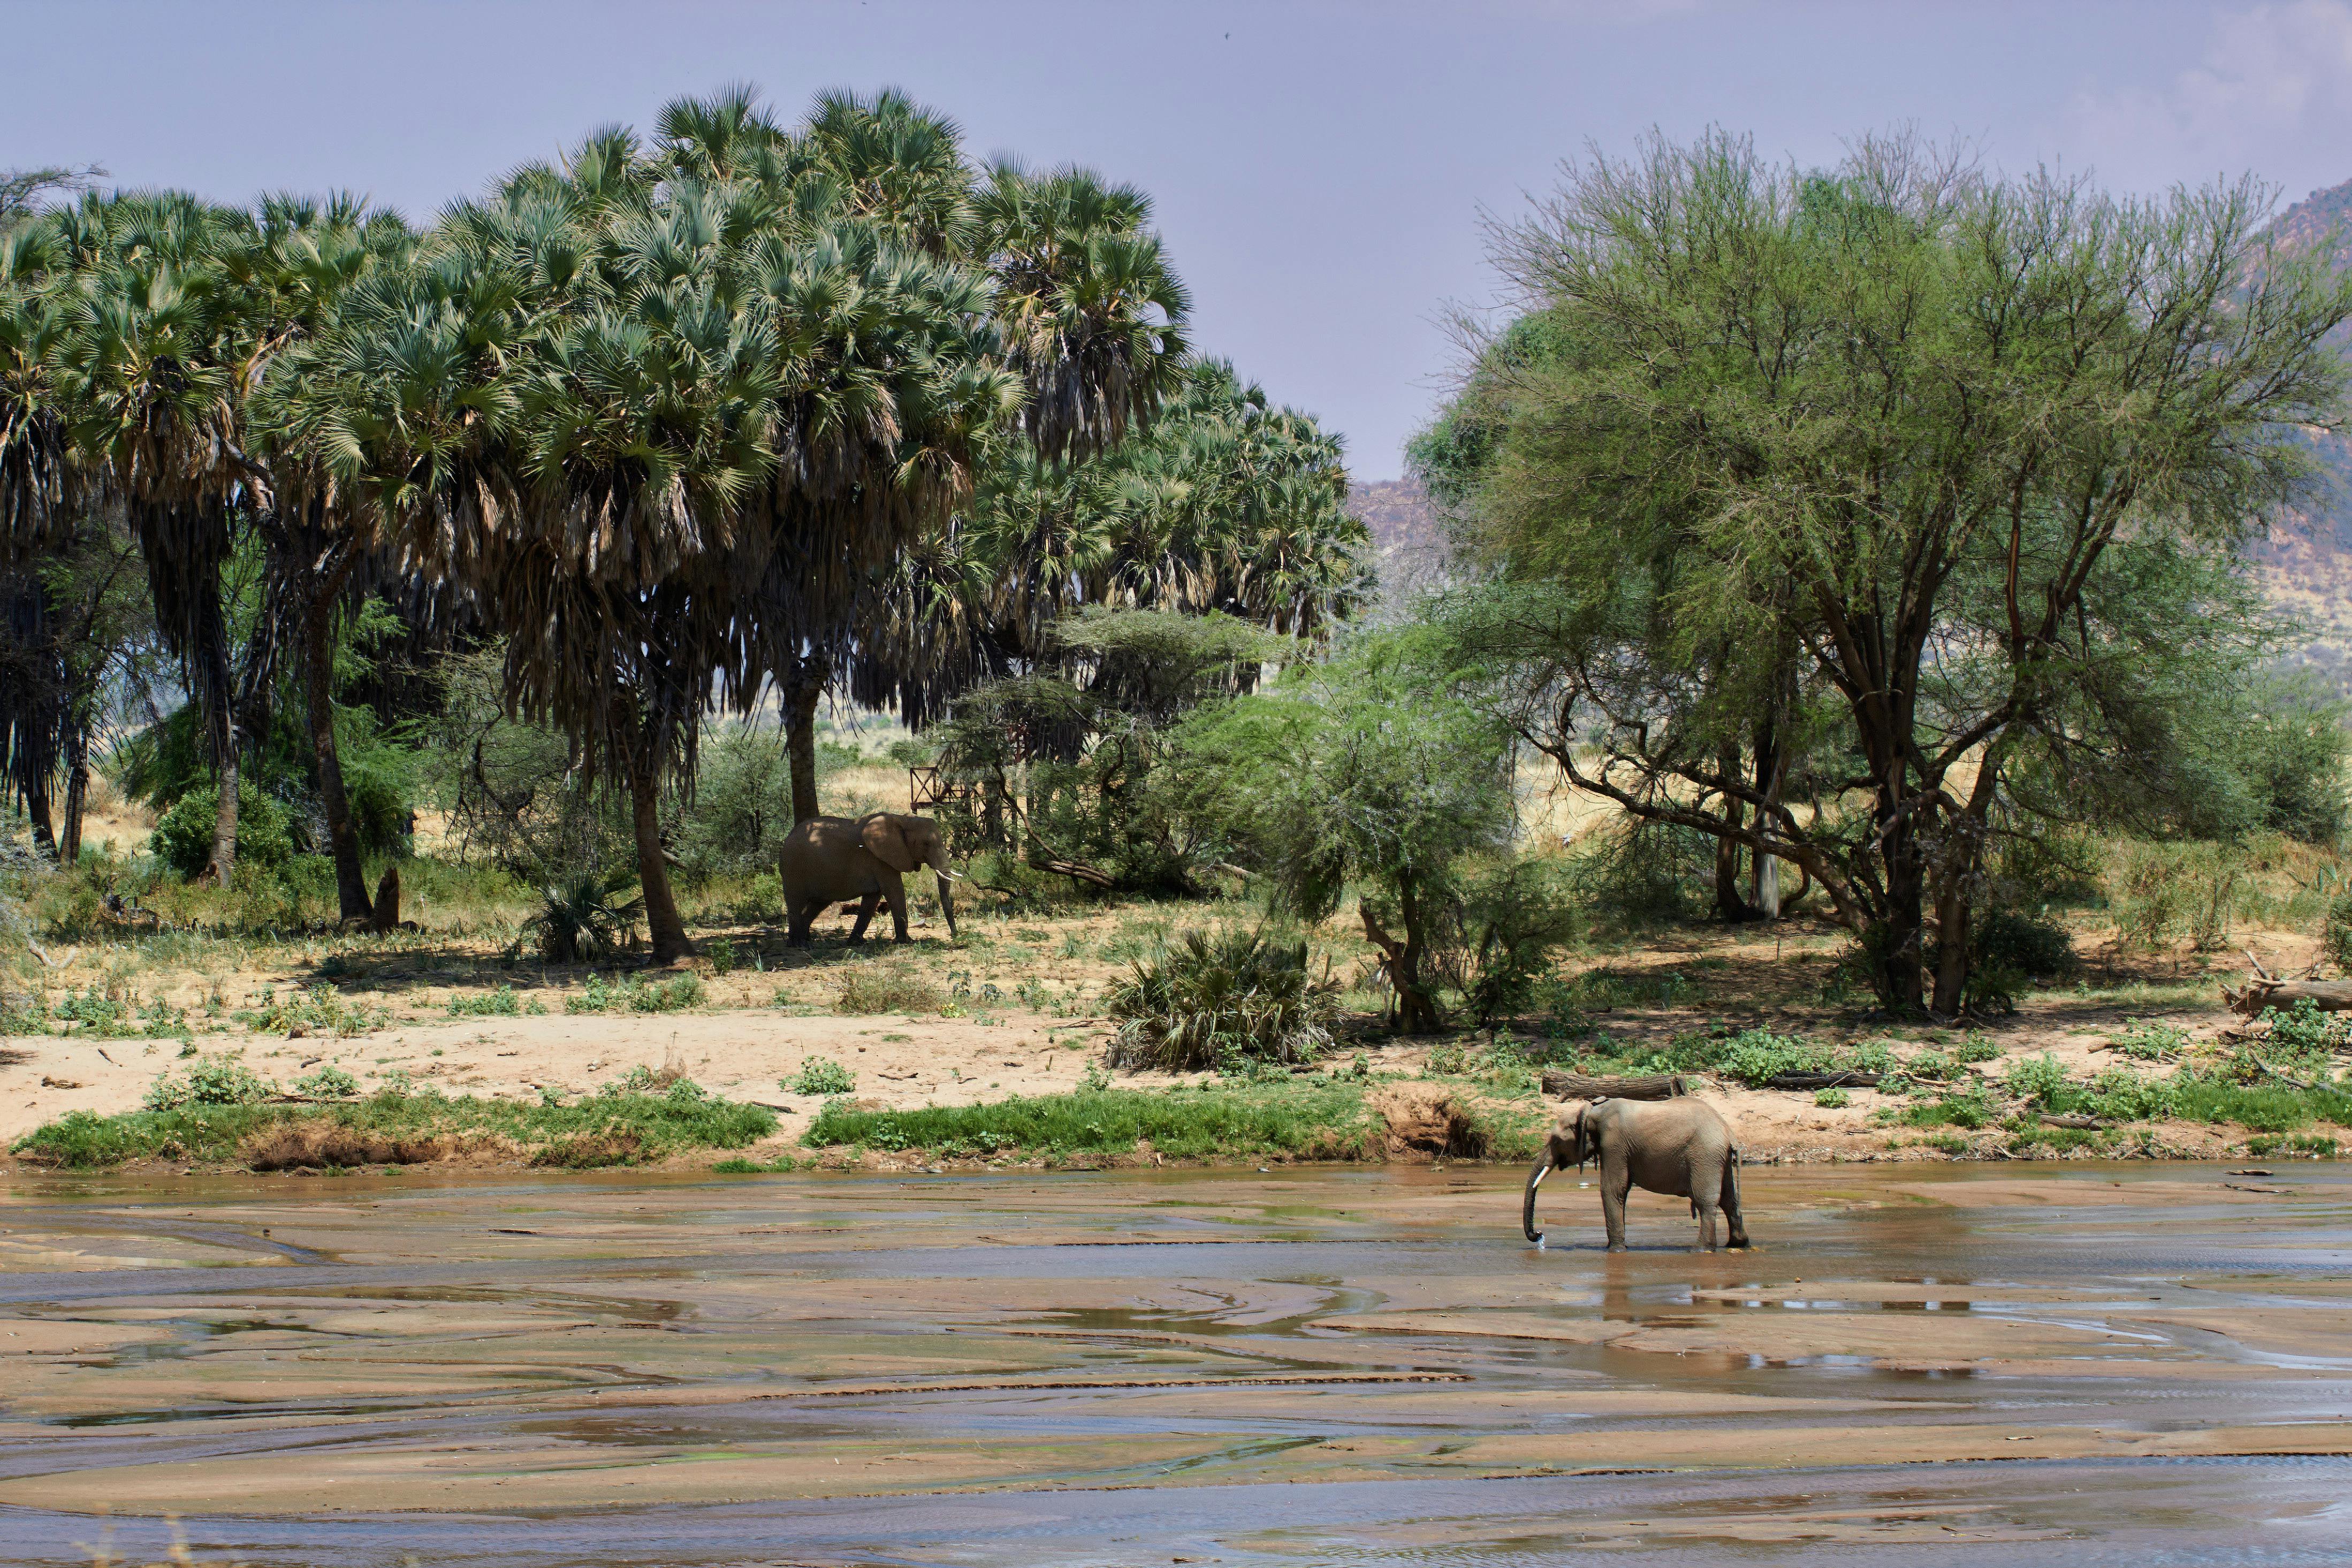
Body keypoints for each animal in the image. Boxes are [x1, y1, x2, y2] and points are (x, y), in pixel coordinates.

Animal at [778, 812, 961, 946]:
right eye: (926, 844)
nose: (955, 935)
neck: (901, 819)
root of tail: (787, 838)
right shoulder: (880, 859)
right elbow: (895, 892)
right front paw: (906, 942)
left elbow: (873, 899)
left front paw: (856, 943)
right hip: (793, 869)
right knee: (796, 903)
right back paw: (796, 944)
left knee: (817, 905)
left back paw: (805, 941)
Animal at [1522, 1096, 1749, 1252]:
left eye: (1556, 1141)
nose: (1539, 1234)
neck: (1594, 1111)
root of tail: (1729, 1133)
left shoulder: (1614, 1143)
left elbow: (1612, 1190)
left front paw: (1615, 1251)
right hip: (1719, 1159)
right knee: (1729, 1199)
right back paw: (1737, 1244)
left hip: (1705, 1155)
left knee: (1706, 1202)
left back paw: (1701, 1250)